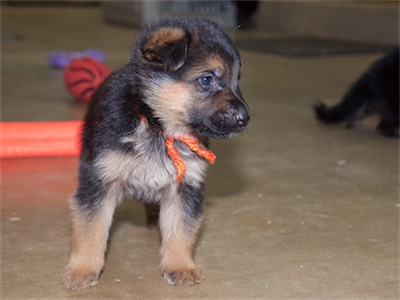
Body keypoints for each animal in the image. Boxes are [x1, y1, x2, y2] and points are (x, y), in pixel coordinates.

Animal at [61, 17, 250, 290]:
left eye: (237, 79)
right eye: (207, 79)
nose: (245, 118)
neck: (155, 123)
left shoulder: (184, 186)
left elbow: (181, 229)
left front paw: (180, 265)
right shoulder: (99, 180)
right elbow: (91, 228)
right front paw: (82, 268)